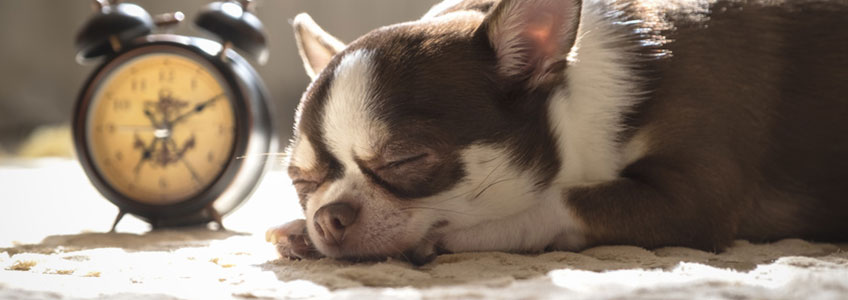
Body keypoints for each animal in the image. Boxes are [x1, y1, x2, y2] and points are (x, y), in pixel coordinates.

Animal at [266, 0, 848, 264]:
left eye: (404, 160)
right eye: (301, 183)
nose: (328, 216)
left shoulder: (697, 199)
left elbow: (561, 200)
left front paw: (462, 235)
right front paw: (300, 231)